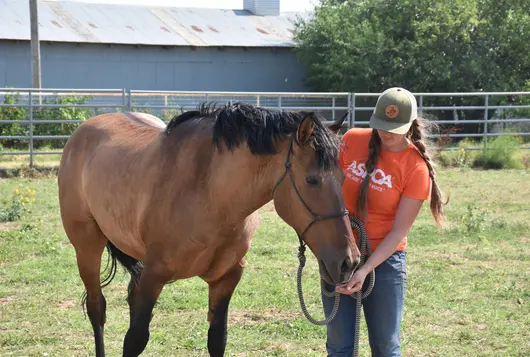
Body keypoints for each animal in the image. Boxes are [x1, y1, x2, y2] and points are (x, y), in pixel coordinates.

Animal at [57, 101, 358, 354]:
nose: (350, 262)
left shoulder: (227, 278)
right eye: (312, 180)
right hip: (87, 246)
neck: (209, 193)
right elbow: (135, 340)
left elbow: (217, 339)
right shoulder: (154, 276)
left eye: (343, 177)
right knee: (97, 308)